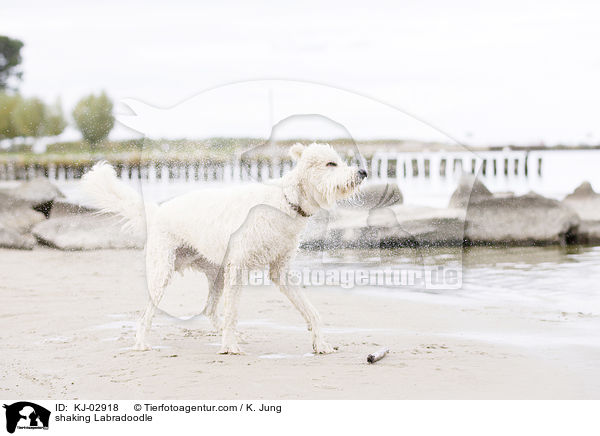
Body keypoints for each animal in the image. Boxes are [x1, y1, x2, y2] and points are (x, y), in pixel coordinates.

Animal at [81, 143, 366, 354]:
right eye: (331, 164)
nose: (363, 172)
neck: (286, 202)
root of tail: (157, 211)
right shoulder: (238, 266)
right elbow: (232, 312)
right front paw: (229, 347)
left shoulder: (280, 271)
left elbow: (311, 312)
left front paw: (321, 343)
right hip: (162, 273)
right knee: (145, 314)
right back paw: (141, 343)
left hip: (217, 273)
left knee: (209, 309)